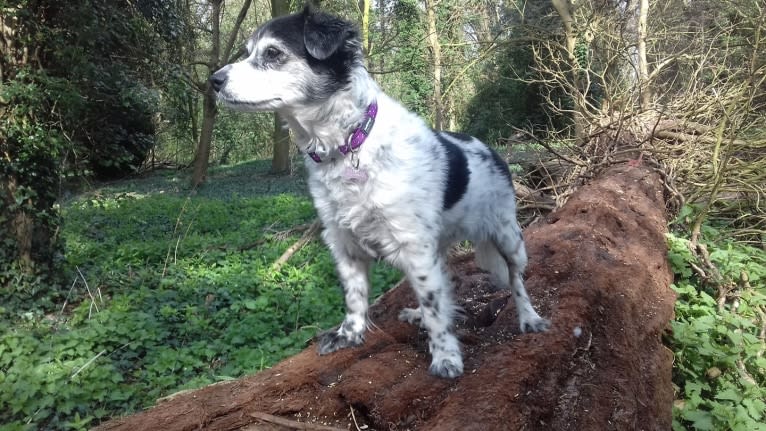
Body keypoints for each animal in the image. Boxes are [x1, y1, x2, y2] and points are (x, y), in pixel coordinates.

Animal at [210, 5, 552, 378]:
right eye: (247, 52)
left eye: (273, 53)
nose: (214, 80)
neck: (347, 145)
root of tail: (491, 150)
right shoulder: (343, 240)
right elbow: (355, 296)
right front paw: (349, 334)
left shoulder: (414, 244)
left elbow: (435, 305)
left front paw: (445, 356)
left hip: (508, 237)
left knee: (516, 281)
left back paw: (529, 318)